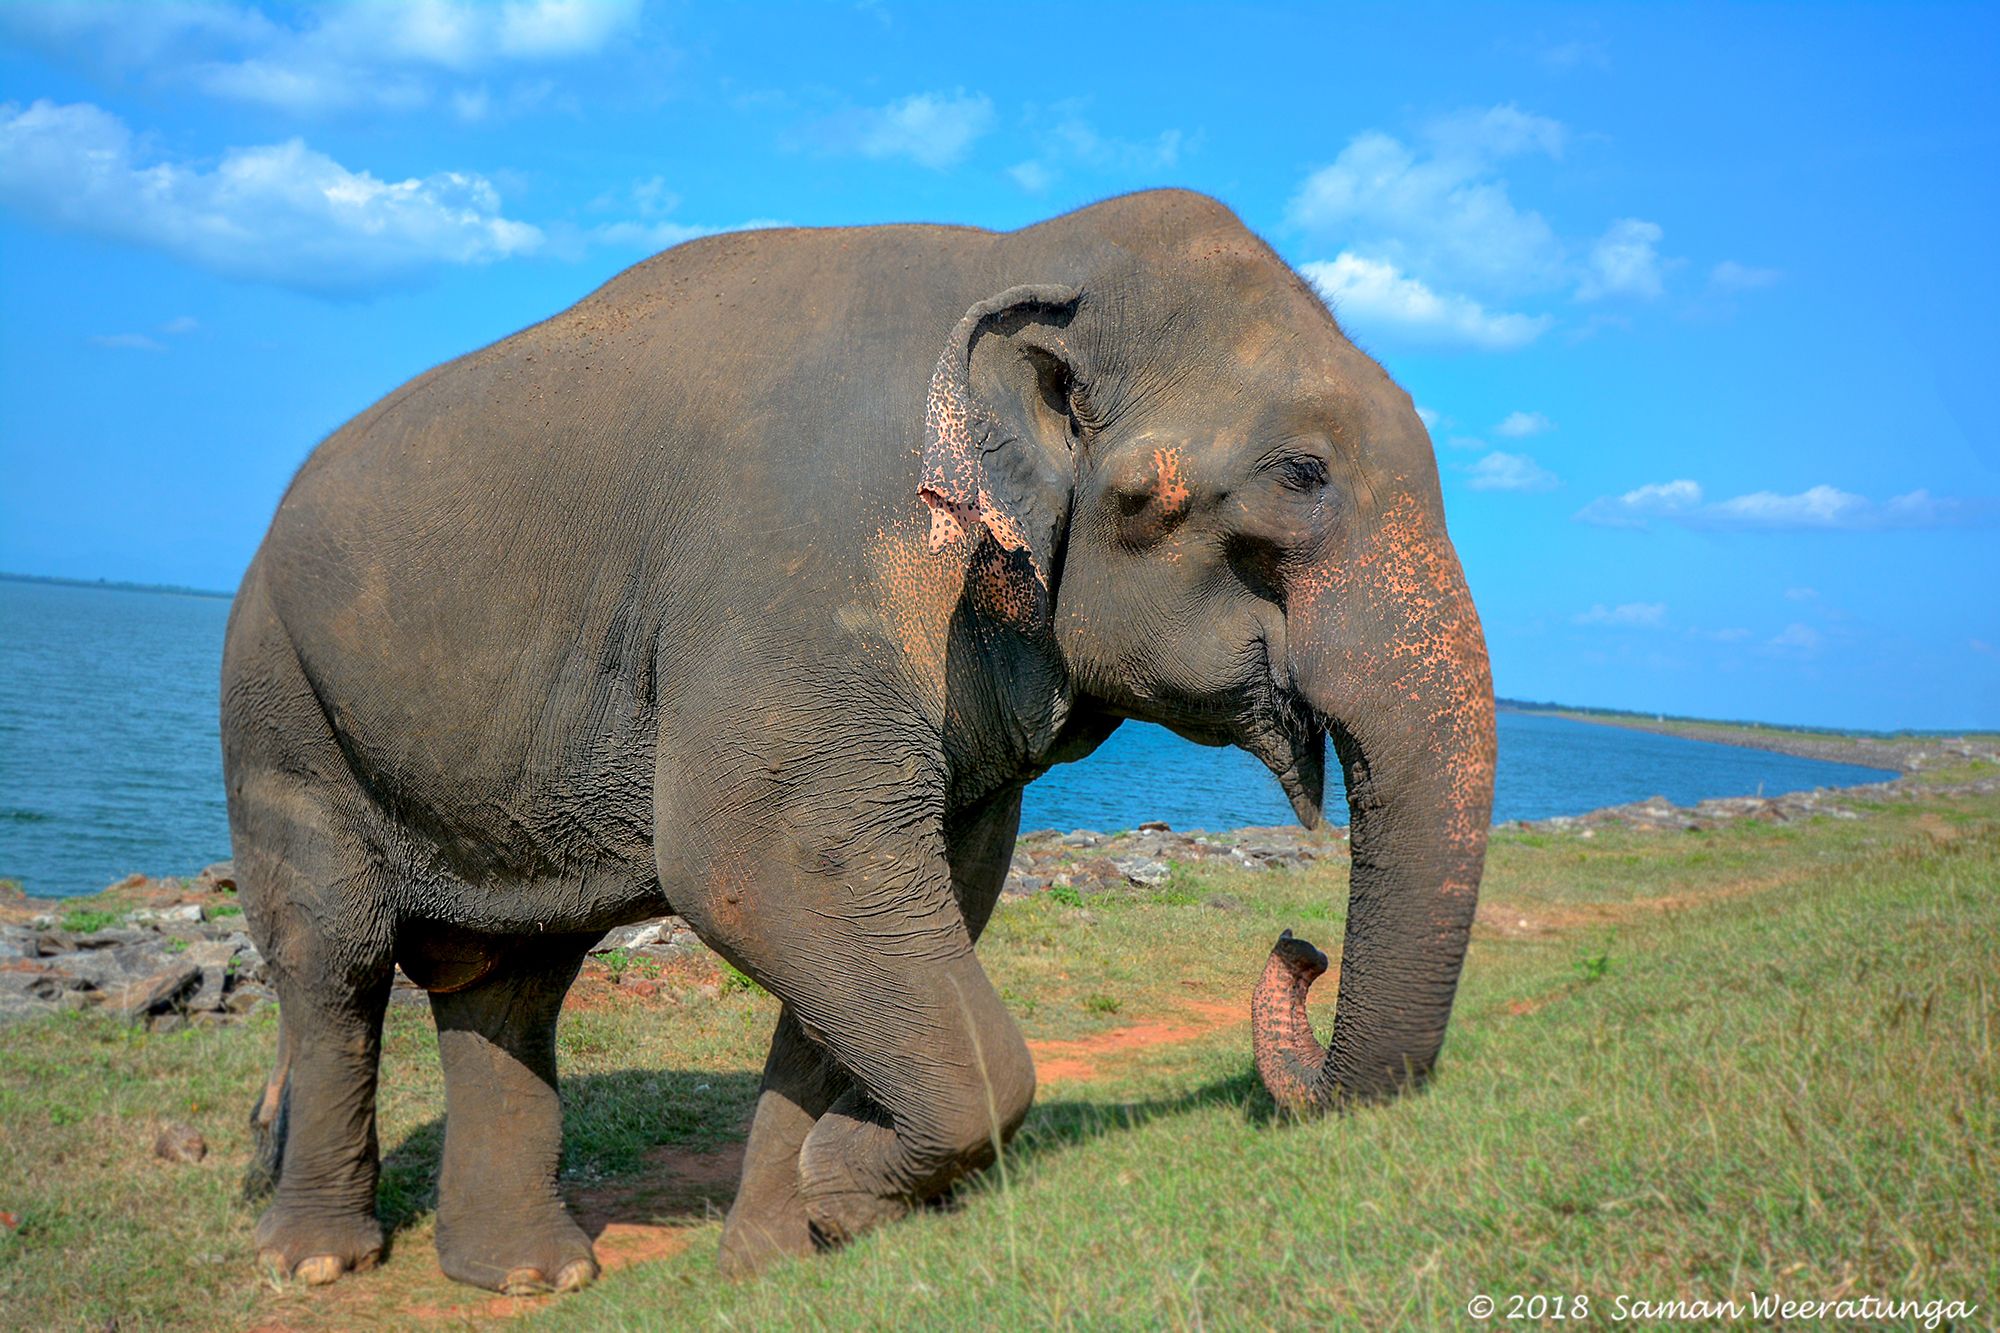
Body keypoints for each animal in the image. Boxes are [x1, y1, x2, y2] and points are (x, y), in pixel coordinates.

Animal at [220, 187, 1496, 1294]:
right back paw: (320, 1261)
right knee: (335, 955)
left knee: (505, 978)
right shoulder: (802, 569)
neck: (1021, 254)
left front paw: (783, 1246)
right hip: (278, 705)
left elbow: (919, 886)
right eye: (1301, 473)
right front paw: (837, 1190)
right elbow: (761, 863)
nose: (1297, 946)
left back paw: (533, 1275)